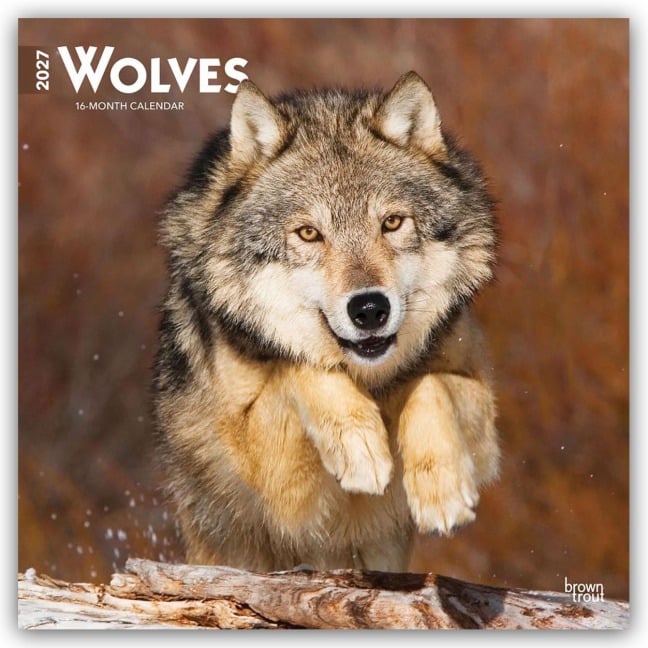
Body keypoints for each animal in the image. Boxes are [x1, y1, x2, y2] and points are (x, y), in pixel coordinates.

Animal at [153, 71, 500, 572]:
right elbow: (296, 365)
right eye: (309, 233)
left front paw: (443, 492)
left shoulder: (481, 411)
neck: (369, 379)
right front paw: (359, 444)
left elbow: (428, 384)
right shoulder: (274, 478)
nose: (370, 309)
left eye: (392, 223)